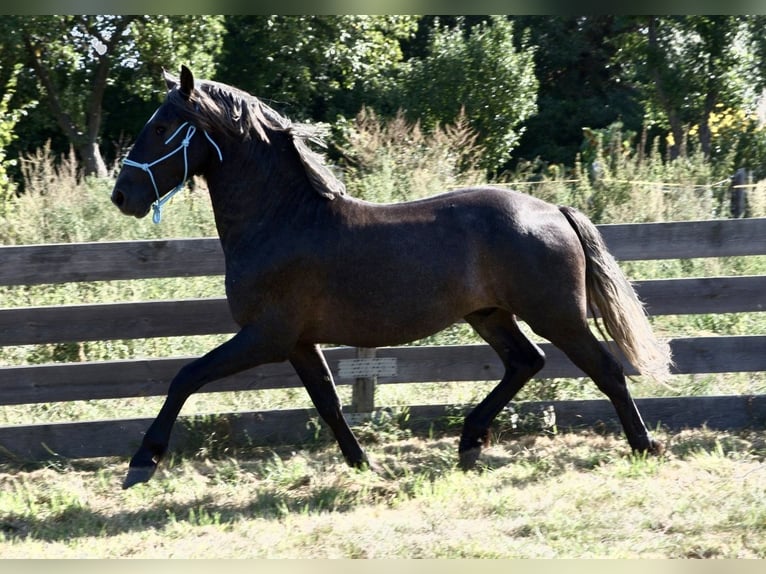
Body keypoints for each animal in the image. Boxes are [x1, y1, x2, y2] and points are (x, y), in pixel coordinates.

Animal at [112, 67, 672, 490]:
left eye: (161, 127)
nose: (123, 195)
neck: (283, 220)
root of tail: (554, 210)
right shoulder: (298, 342)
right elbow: (329, 402)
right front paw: (364, 464)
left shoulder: (266, 336)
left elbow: (187, 377)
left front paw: (142, 463)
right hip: (490, 314)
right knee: (525, 362)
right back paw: (469, 442)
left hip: (557, 315)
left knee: (607, 370)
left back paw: (644, 446)